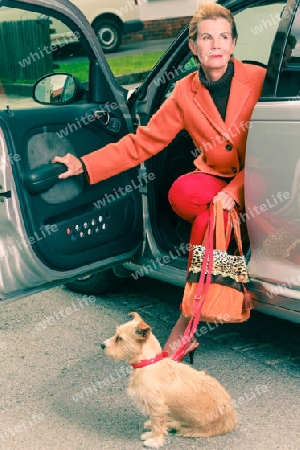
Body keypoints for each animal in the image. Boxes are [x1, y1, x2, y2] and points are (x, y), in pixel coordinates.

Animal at [101, 312, 237, 446]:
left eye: (120, 338)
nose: (102, 345)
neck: (149, 362)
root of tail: (232, 420)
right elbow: (157, 423)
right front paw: (152, 434)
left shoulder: (157, 407)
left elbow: (158, 426)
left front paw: (156, 440)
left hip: (194, 429)